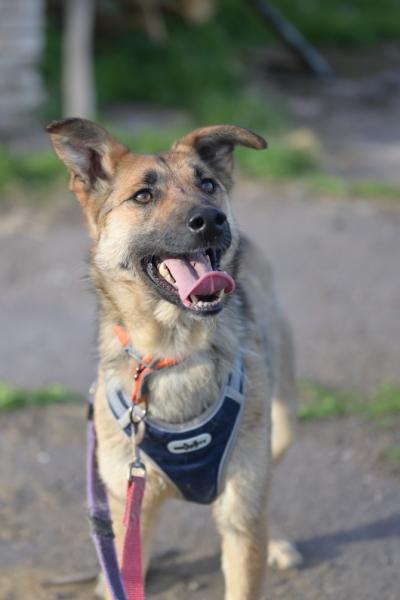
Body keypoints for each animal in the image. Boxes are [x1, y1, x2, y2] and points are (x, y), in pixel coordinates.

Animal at [47, 119, 301, 599]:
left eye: (208, 184)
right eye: (143, 196)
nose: (212, 219)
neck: (175, 352)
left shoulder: (241, 513)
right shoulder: (131, 514)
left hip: (280, 429)